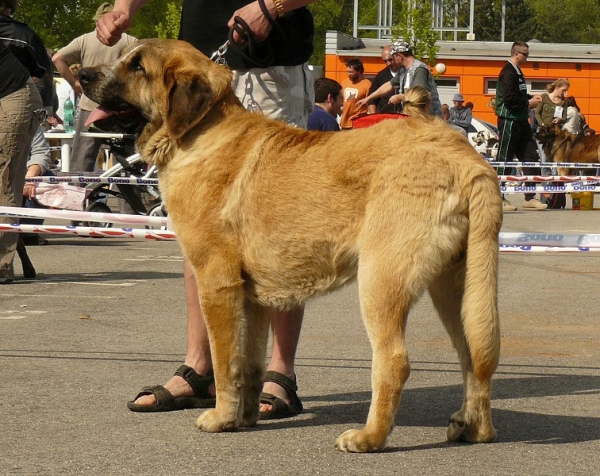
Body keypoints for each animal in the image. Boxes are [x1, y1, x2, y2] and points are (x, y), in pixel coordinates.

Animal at [78, 39, 502, 452]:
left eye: (137, 67)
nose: (82, 74)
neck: (200, 133)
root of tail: (467, 159)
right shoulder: (252, 298)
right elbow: (248, 363)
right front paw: (243, 418)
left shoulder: (217, 284)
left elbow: (224, 360)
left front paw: (220, 417)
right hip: (455, 286)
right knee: (474, 354)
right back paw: (473, 428)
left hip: (381, 280)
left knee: (396, 360)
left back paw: (369, 438)